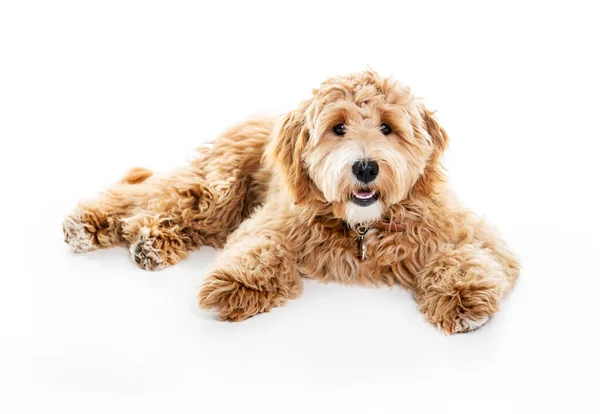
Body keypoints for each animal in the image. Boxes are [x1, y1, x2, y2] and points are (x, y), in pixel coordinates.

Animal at [63, 70, 516, 334]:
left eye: (387, 127)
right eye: (338, 127)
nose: (365, 168)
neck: (362, 226)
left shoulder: (466, 233)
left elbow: (467, 257)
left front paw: (463, 297)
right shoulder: (273, 221)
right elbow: (259, 247)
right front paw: (238, 284)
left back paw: (149, 241)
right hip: (216, 191)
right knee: (151, 194)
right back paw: (92, 224)